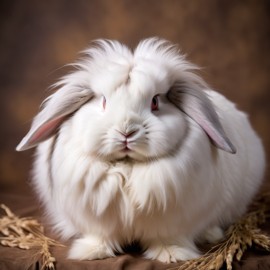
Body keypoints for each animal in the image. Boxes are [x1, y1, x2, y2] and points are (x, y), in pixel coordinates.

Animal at [15, 38, 264, 262]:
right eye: (103, 101)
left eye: (155, 102)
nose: (126, 131)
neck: (127, 168)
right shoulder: (96, 221)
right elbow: (100, 236)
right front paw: (91, 252)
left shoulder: (173, 222)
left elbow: (168, 238)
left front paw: (171, 255)